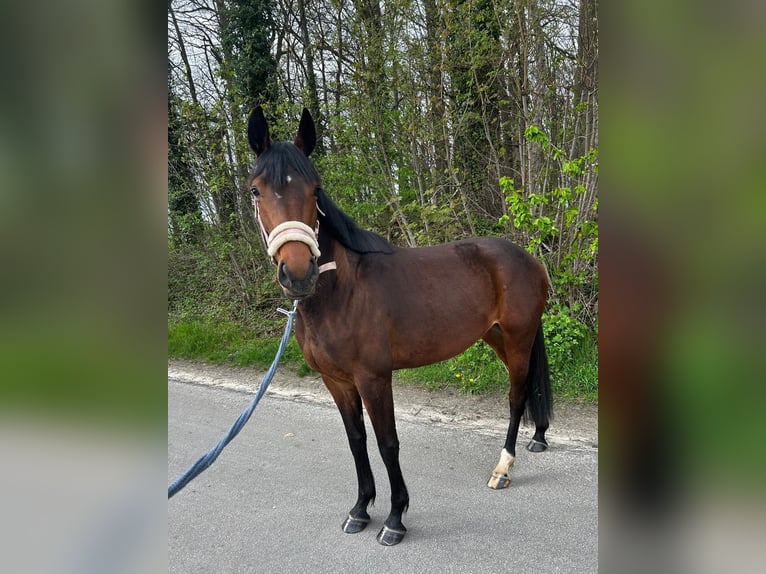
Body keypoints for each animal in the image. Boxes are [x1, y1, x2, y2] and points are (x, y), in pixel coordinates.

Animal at [249, 107, 556, 544]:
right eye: (256, 191)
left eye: (315, 189)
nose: (297, 273)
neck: (343, 291)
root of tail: (529, 259)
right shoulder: (336, 381)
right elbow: (357, 441)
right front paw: (360, 509)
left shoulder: (374, 378)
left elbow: (387, 443)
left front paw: (395, 518)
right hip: (497, 336)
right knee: (529, 388)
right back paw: (538, 438)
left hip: (517, 339)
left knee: (516, 397)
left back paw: (503, 468)